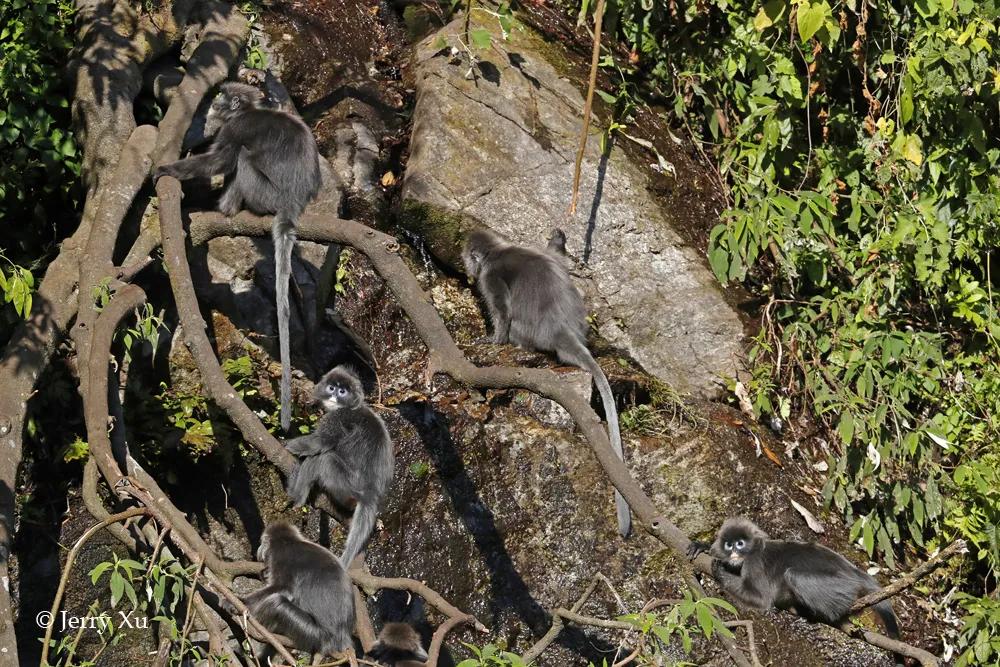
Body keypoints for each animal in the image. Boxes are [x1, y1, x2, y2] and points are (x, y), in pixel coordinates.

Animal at [152, 81, 320, 434]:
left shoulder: (236, 126)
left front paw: (165, 169)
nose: (214, 99)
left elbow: (219, 160)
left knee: (239, 157)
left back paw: (226, 209)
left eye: (224, 95)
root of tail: (292, 202)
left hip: (262, 193)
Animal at [282, 366, 394, 568]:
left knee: (322, 459)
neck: (350, 407)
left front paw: (287, 444)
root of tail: (370, 492)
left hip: (345, 483)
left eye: (342, 392)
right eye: (332, 388)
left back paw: (296, 495)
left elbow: (319, 442)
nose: (334, 396)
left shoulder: (337, 419)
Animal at [462, 228, 632, 536]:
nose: (468, 268)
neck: (497, 251)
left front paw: (493, 340)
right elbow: (555, 254)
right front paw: (558, 239)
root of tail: (562, 330)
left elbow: (502, 311)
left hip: (524, 332)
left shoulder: (490, 276)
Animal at [688, 520, 900, 640]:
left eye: (740, 544)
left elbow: (760, 599)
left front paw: (719, 569)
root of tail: (853, 570)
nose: (732, 552)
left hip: (841, 586)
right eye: (729, 544)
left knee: (794, 576)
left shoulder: (753, 562)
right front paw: (703, 546)